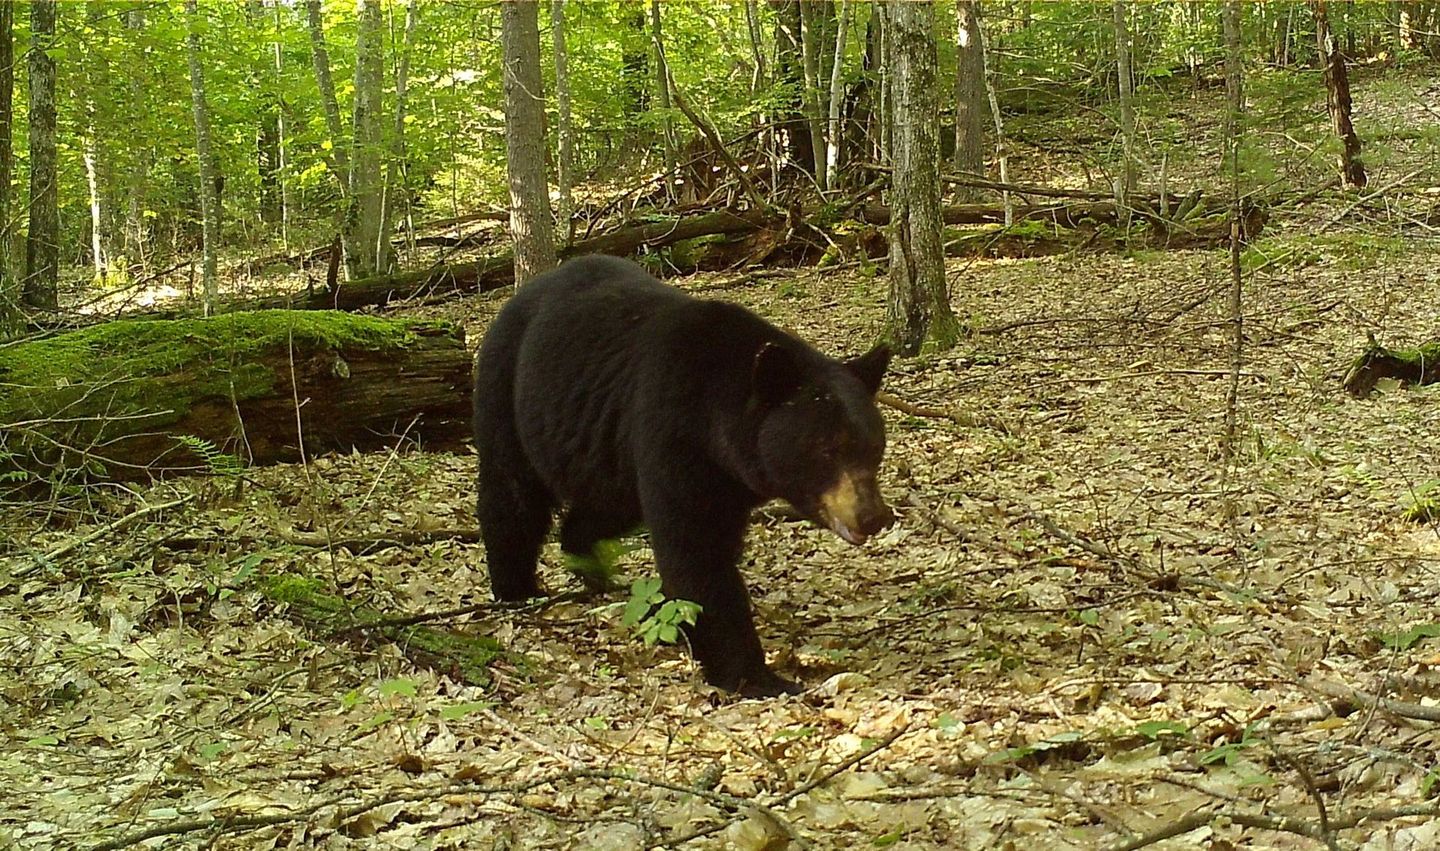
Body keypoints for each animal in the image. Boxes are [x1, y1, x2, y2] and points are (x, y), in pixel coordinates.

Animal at [473, 255, 893, 696]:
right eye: (828, 449)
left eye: (874, 446)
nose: (873, 516)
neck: (718, 424)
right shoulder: (673, 433)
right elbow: (696, 555)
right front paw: (757, 676)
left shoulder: (727, 482)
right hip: (506, 388)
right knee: (511, 493)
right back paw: (516, 588)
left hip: (608, 450)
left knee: (606, 507)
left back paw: (587, 564)